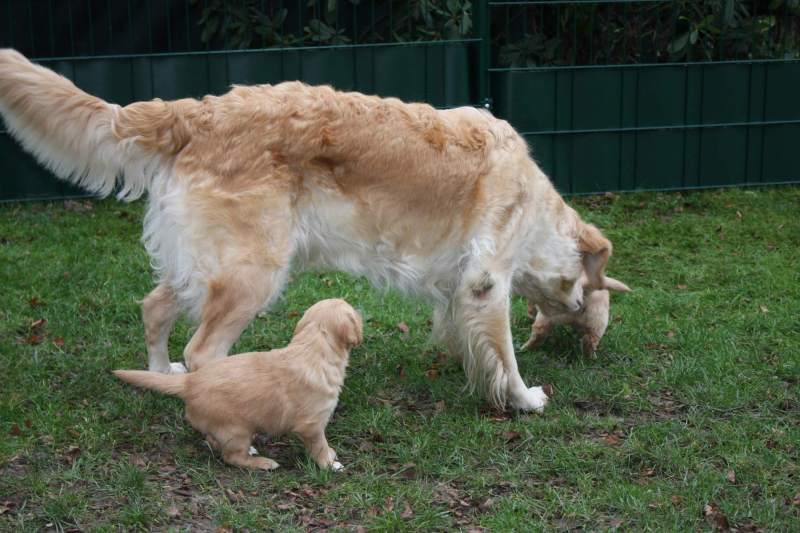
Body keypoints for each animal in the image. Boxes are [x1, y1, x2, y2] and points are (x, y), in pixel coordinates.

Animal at [0, 48, 622, 412]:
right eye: (586, 287)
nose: (581, 312)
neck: (535, 200)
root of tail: (195, 111)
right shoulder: (486, 281)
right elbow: (506, 355)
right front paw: (525, 398)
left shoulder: (458, 288)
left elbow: (465, 337)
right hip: (253, 273)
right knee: (203, 352)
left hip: (206, 264)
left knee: (155, 309)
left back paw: (161, 379)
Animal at [114, 298, 362, 471]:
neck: (313, 348)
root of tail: (190, 381)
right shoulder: (311, 424)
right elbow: (319, 445)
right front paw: (330, 464)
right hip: (236, 428)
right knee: (232, 457)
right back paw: (263, 462)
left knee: (214, 441)